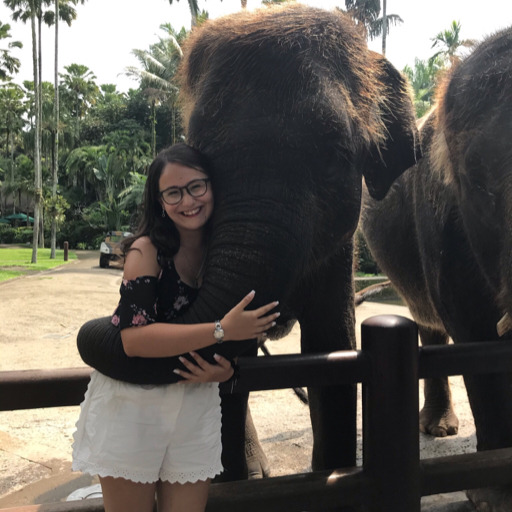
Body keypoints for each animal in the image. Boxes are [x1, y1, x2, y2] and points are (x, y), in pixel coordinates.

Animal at [77, 4, 420, 482]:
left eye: (335, 155)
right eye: (202, 154)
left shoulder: (338, 254)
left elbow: (331, 346)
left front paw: (332, 473)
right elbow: (226, 360)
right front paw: (231, 480)